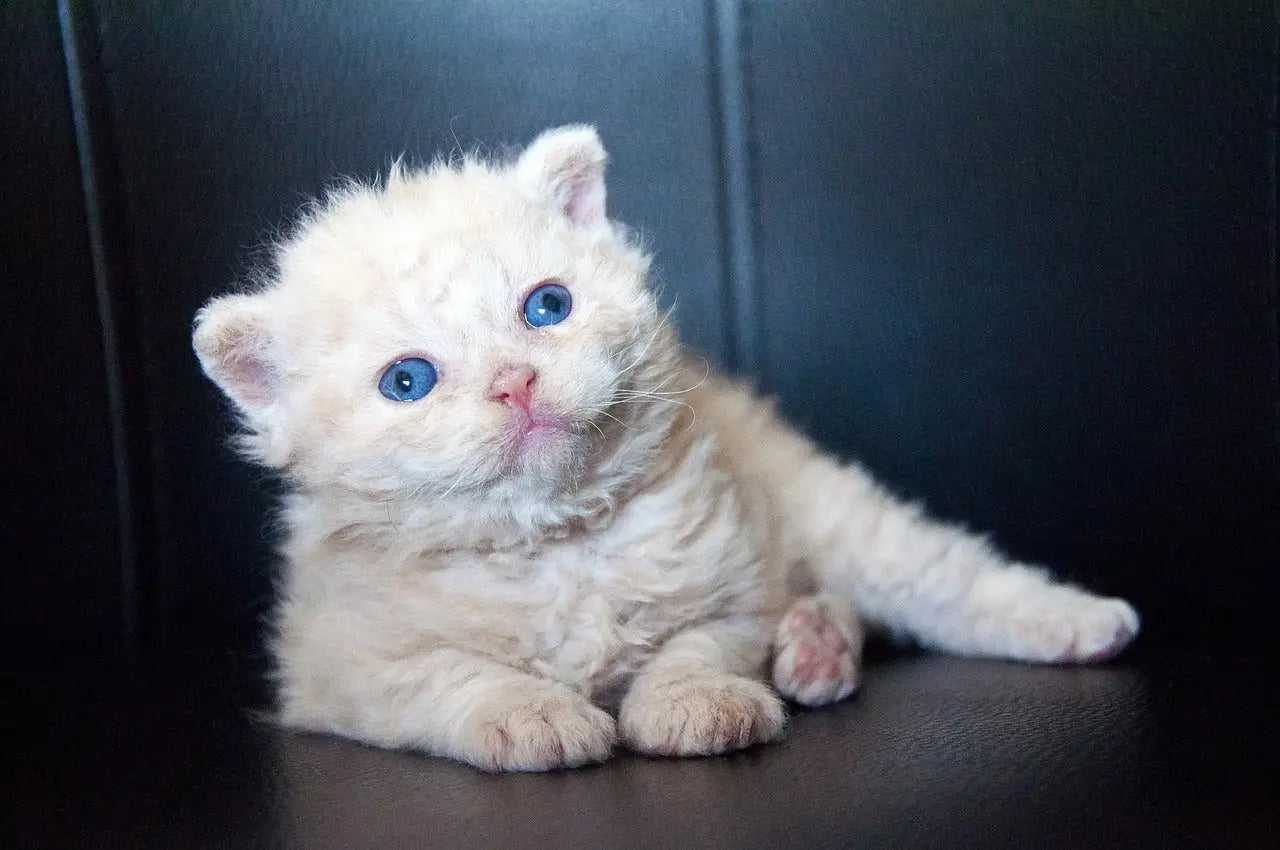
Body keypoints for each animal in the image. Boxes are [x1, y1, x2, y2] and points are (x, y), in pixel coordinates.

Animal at [197, 124, 1141, 768]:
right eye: (407, 382)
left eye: (547, 306)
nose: (515, 382)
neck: (560, 543)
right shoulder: (336, 667)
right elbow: (448, 675)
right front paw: (537, 717)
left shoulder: (734, 586)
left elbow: (695, 647)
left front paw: (696, 708)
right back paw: (816, 649)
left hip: (823, 508)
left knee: (932, 578)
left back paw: (1067, 625)